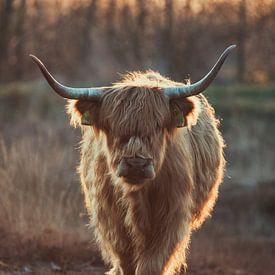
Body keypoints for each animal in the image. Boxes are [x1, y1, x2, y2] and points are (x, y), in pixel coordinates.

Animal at [30, 45, 237, 275]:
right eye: (112, 126)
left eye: (158, 126)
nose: (136, 165)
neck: (136, 196)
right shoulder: (111, 220)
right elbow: (126, 261)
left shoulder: (170, 219)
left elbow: (152, 263)